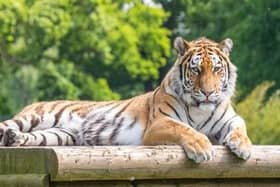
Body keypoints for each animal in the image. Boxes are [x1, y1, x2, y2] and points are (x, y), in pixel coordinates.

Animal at [0, 36, 252, 162]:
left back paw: (14, 139)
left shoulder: (229, 119)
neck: (201, 107)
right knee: (7, 125)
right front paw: (202, 148)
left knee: (33, 137)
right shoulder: (159, 123)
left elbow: (241, 127)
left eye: (217, 69)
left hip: (61, 135)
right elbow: (185, 129)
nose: (209, 93)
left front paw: (243, 147)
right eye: (196, 70)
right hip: (35, 117)